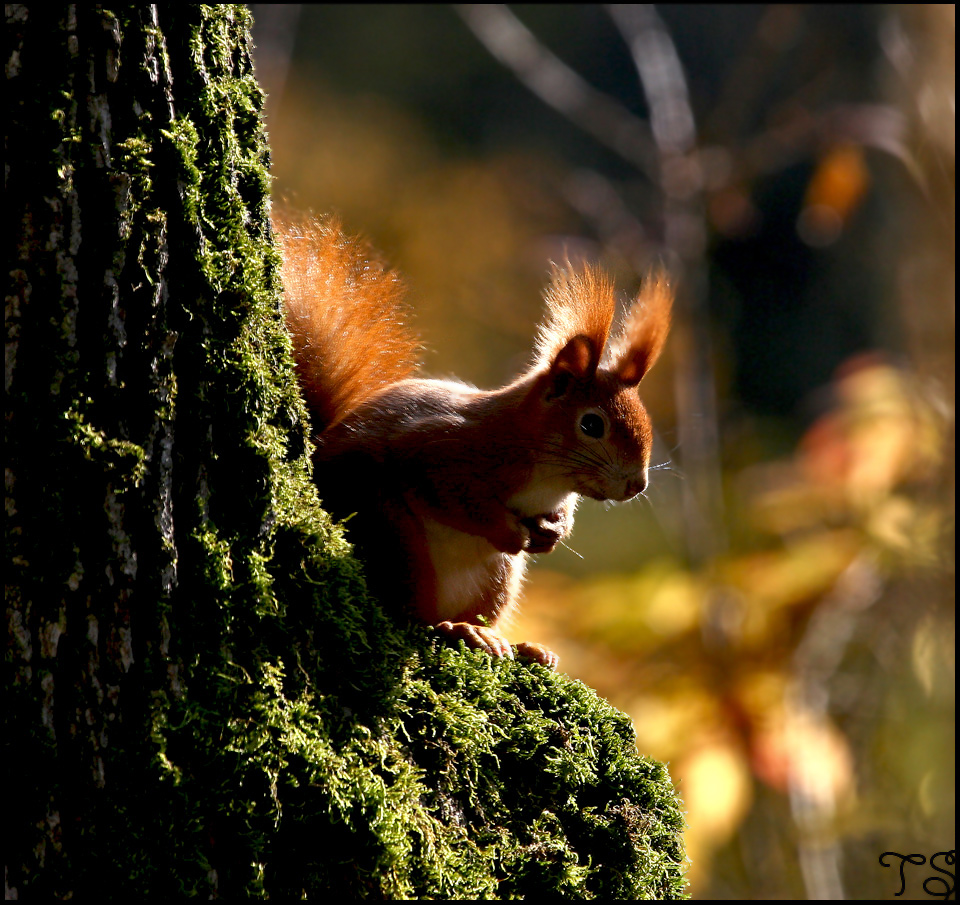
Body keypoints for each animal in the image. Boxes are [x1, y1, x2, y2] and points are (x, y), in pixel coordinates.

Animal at [274, 208, 672, 668]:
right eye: (591, 425)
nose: (636, 485)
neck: (545, 473)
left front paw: (555, 531)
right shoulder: (441, 453)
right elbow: (457, 500)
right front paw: (511, 533)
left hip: (497, 578)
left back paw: (516, 643)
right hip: (392, 532)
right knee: (412, 615)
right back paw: (454, 629)